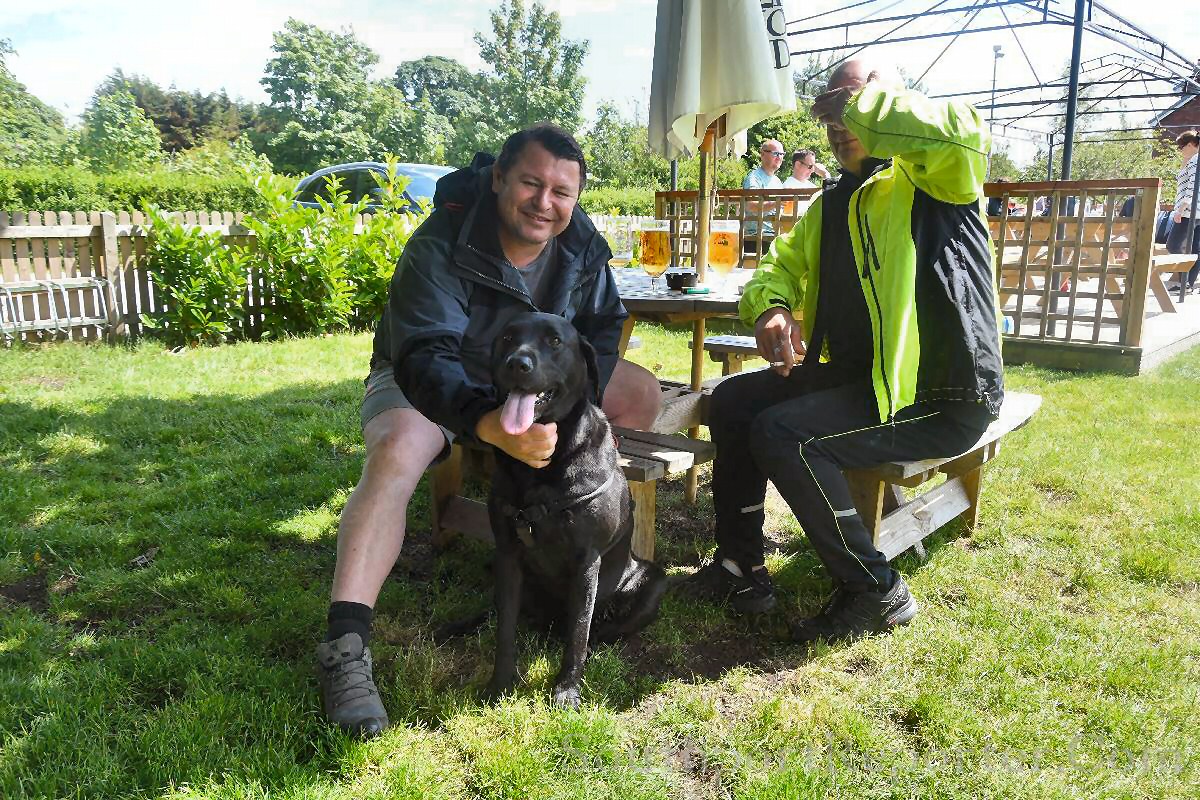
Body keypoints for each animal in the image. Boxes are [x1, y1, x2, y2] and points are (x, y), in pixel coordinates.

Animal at [477, 311, 666, 709]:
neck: (541, 471)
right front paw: (500, 684)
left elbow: (579, 631)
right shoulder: (507, 554)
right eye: (507, 337)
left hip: (653, 581)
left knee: (599, 630)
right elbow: (505, 629)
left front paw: (566, 689)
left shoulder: (586, 561)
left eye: (554, 341)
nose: (517, 363)